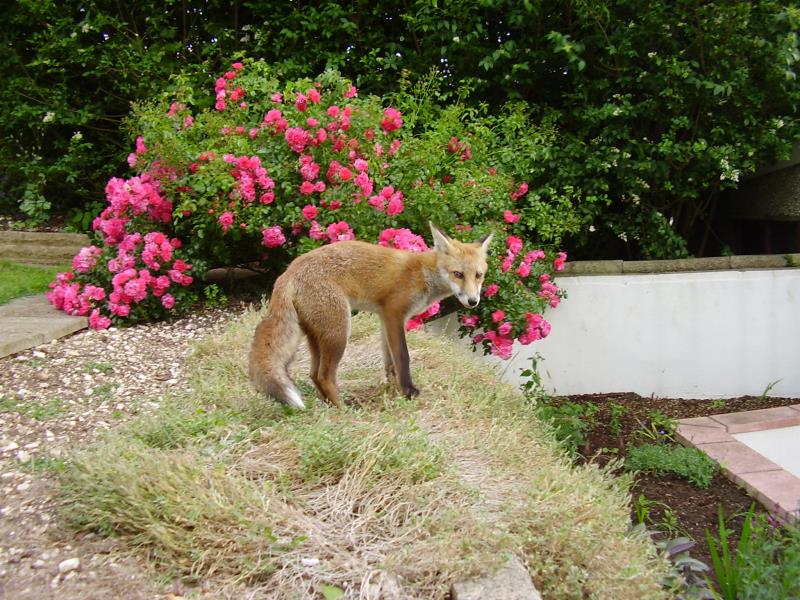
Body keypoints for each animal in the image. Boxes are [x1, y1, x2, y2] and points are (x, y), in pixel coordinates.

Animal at [247, 223, 490, 410]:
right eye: (458, 274)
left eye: (479, 275)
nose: (473, 301)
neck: (422, 274)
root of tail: (287, 274)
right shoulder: (394, 313)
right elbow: (403, 357)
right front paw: (408, 391)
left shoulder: (385, 319)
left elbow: (389, 361)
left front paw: (392, 388)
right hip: (339, 332)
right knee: (325, 375)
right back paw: (343, 409)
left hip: (318, 335)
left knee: (314, 374)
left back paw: (329, 405)